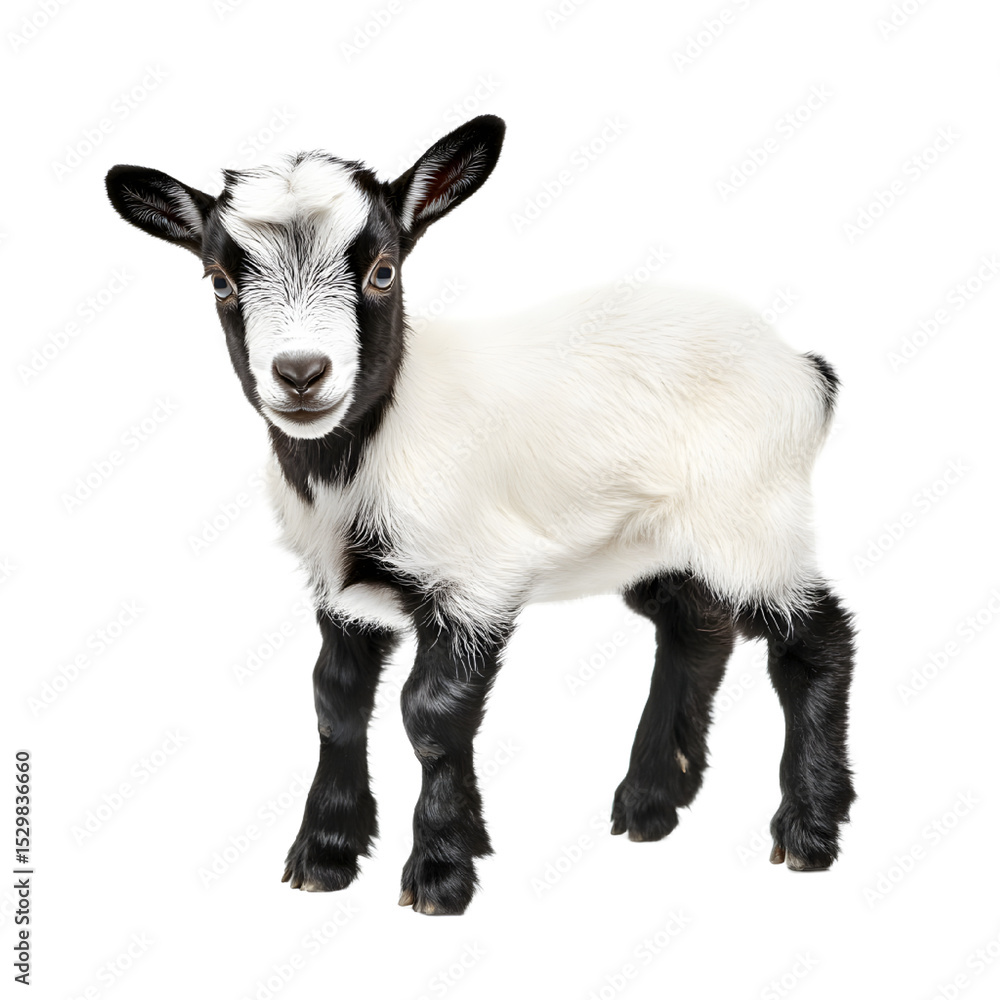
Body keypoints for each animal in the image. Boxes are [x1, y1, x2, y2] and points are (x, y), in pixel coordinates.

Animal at [105, 115, 855, 915]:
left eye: (383, 271)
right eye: (219, 280)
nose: (301, 375)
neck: (363, 455)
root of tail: (803, 370)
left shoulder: (473, 580)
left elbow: (429, 715)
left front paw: (440, 869)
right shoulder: (340, 591)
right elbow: (334, 703)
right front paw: (326, 852)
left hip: (751, 512)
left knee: (814, 642)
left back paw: (808, 829)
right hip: (658, 536)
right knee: (694, 628)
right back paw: (652, 800)